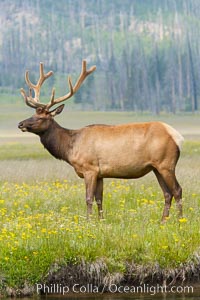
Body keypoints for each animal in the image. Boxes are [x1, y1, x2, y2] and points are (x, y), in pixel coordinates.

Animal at [18, 61, 184, 221]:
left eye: (41, 117)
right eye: (33, 114)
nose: (20, 124)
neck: (70, 148)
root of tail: (177, 136)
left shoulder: (89, 168)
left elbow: (88, 198)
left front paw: (88, 221)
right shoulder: (100, 173)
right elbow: (99, 199)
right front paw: (101, 221)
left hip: (166, 164)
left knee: (177, 190)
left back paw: (180, 221)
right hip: (156, 167)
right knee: (167, 193)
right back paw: (163, 221)